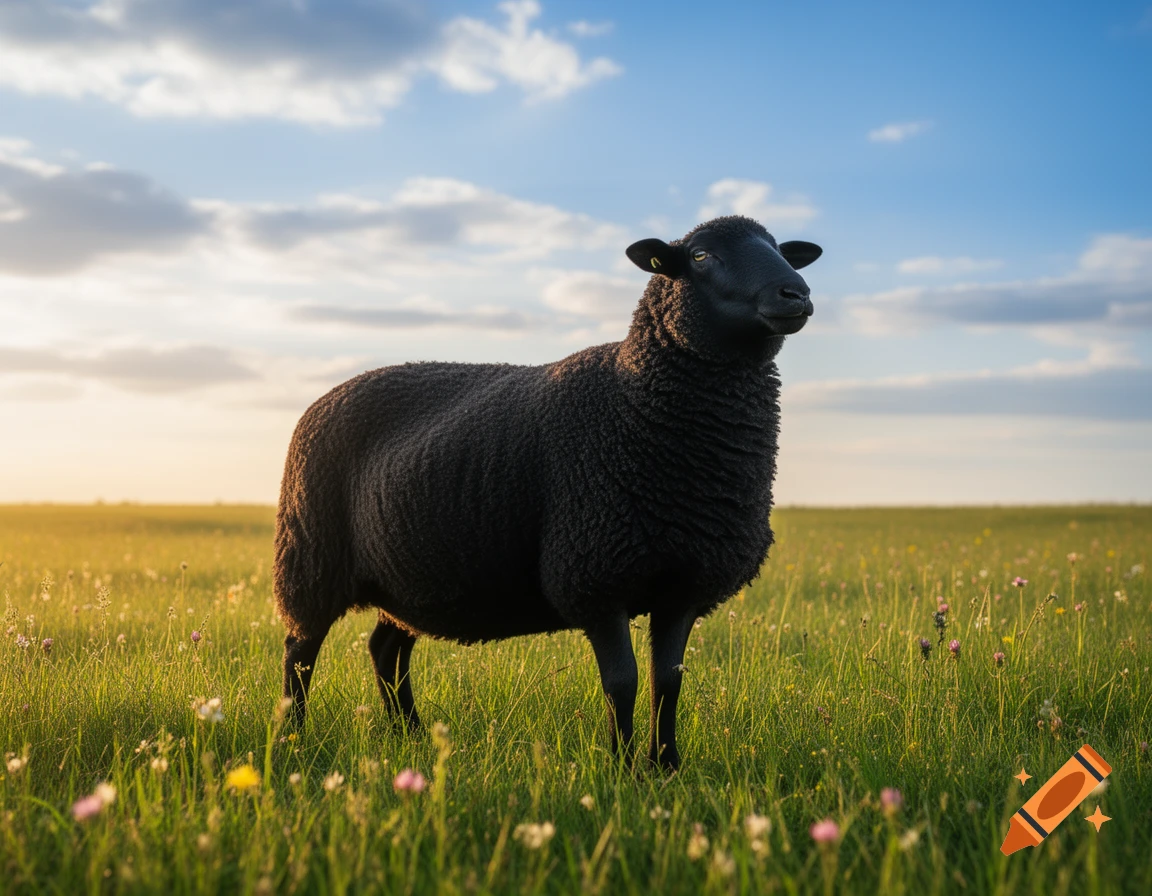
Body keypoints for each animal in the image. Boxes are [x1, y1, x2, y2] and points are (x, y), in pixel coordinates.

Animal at [275, 214, 821, 768]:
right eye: (702, 256)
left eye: (781, 250)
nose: (796, 293)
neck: (633, 397)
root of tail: (325, 397)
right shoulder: (594, 577)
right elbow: (622, 683)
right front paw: (623, 768)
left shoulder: (684, 583)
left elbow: (668, 683)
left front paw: (665, 766)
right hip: (311, 557)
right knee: (300, 653)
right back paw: (292, 739)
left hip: (406, 578)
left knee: (386, 650)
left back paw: (410, 733)